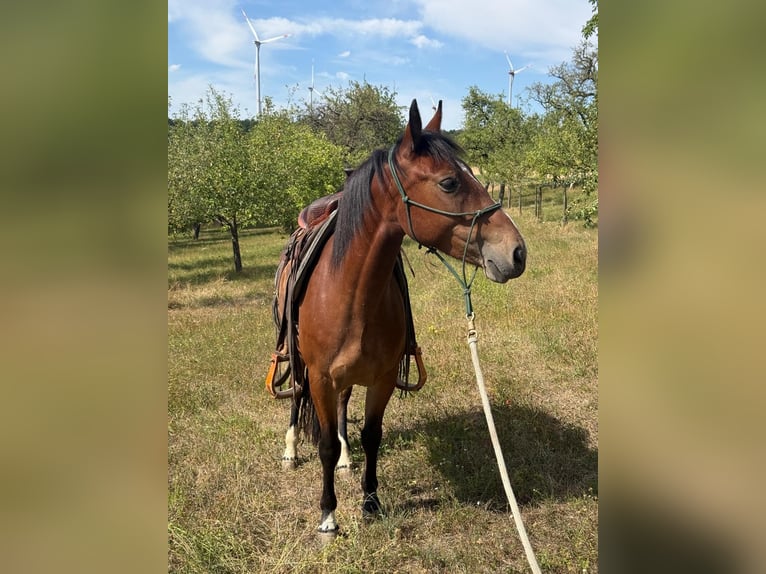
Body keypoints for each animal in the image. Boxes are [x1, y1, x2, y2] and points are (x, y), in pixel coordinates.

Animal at [271, 99, 526, 535]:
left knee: (343, 407)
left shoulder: (383, 378)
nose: (517, 252)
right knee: (298, 397)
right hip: (300, 359)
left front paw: (370, 502)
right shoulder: (320, 376)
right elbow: (324, 443)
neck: (349, 292)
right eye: (449, 183)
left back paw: (346, 459)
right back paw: (291, 449)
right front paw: (328, 515)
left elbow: (371, 435)